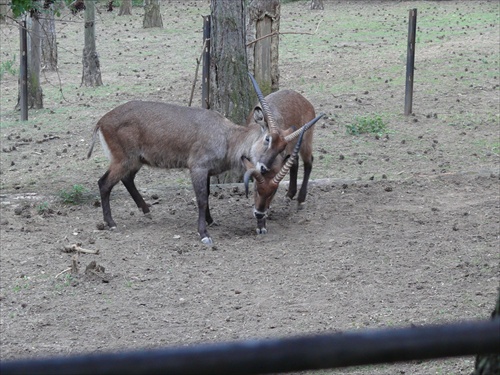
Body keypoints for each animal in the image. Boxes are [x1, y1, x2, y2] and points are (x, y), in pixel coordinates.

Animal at [86, 74, 312, 247]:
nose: (264, 167)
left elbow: (209, 195)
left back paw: (146, 210)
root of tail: (102, 120)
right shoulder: (197, 168)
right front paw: (204, 234)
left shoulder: (208, 172)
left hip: (136, 160)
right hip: (123, 159)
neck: (227, 137)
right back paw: (111, 223)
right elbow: (202, 199)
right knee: (104, 183)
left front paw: (211, 221)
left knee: (127, 179)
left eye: (283, 148)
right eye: (267, 139)